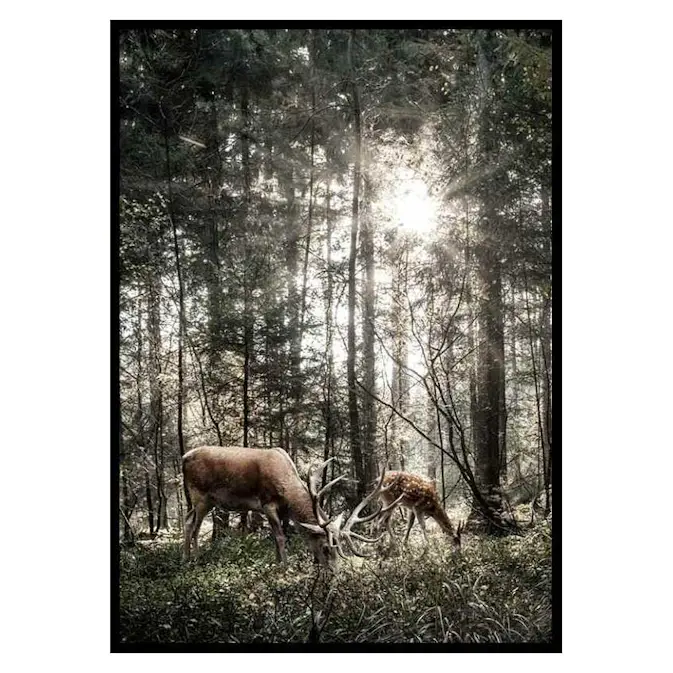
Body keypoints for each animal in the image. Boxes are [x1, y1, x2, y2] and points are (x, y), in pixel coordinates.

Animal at [182, 446, 399, 567]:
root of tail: (184, 458)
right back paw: (194, 559)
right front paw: (284, 567)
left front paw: (277, 562)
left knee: (189, 521)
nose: (334, 573)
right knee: (193, 525)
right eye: (326, 548)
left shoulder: (283, 511)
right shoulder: (267, 503)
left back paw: (188, 557)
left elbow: (278, 535)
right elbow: (280, 537)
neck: (288, 492)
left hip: (205, 500)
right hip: (199, 494)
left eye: (339, 550)